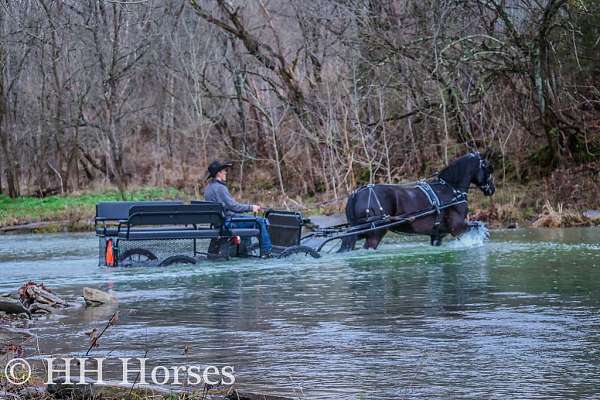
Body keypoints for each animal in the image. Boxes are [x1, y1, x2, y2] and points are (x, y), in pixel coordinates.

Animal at [340, 152, 494, 250]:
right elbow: (479, 226)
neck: (451, 189)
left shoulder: (437, 234)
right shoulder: (457, 227)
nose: (492, 189)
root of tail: (356, 194)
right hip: (375, 233)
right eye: (488, 168)